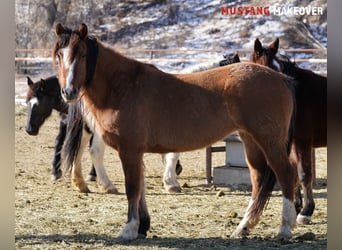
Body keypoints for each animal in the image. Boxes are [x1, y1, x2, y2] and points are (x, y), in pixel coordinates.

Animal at [52, 23, 298, 240]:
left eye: (83, 55)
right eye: (59, 56)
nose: (68, 91)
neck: (123, 86)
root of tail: (281, 79)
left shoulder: (129, 150)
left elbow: (132, 188)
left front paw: (129, 229)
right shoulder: (136, 152)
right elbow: (140, 188)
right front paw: (143, 226)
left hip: (269, 141)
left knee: (286, 174)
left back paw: (285, 228)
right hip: (250, 141)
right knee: (258, 179)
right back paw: (244, 227)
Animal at [251, 37, 328, 225]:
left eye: (279, 69)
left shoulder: (302, 142)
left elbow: (304, 174)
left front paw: (306, 211)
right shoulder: (291, 144)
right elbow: (293, 174)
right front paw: (296, 206)